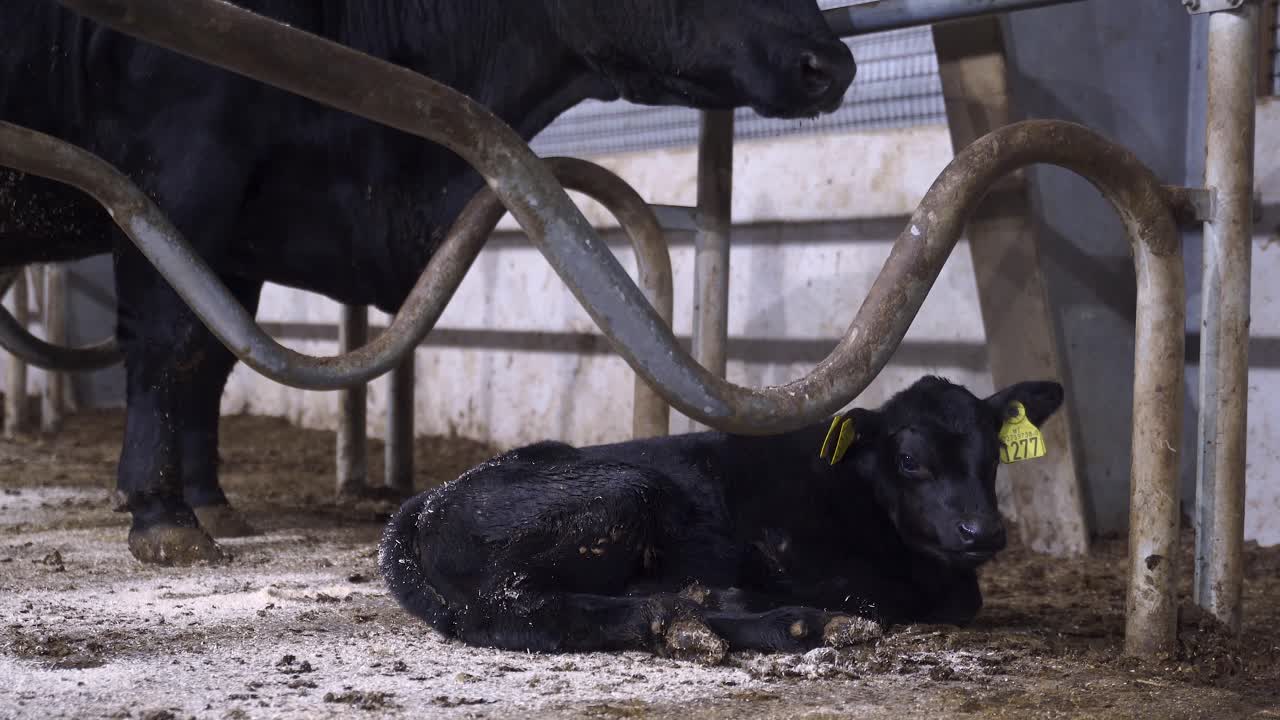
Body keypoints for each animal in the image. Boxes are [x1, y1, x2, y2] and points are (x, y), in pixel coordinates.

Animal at [0, 1, 857, 564]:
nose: (834, 64)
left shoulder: (237, 235)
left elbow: (210, 359)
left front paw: (209, 498)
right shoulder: (177, 175)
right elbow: (169, 345)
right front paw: (162, 513)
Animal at [379, 376, 1065, 660]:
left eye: (994, 456)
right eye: (909, 460)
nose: (982, 531)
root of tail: (424, 504)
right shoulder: (784, 552)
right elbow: (881, 593)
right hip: (619, 494)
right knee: (523, 609)